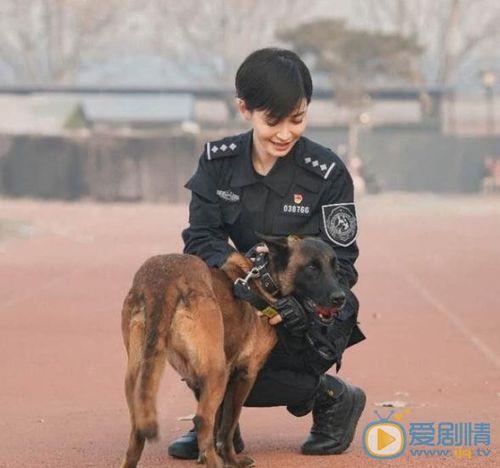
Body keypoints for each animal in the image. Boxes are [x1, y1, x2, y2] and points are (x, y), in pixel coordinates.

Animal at [121, 236, 348, 466]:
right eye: (311, 268)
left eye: (336, 267)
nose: (340, 298)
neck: (264, 280)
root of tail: (163, 279)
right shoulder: (245, 374)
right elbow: (227, 425)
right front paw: (231, 459)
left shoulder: (198, 378)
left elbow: (217, 424)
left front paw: (207, 455)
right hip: (217, 373)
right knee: (202, 418)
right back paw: (216, 463)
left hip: (137, 376)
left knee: (138, 430)